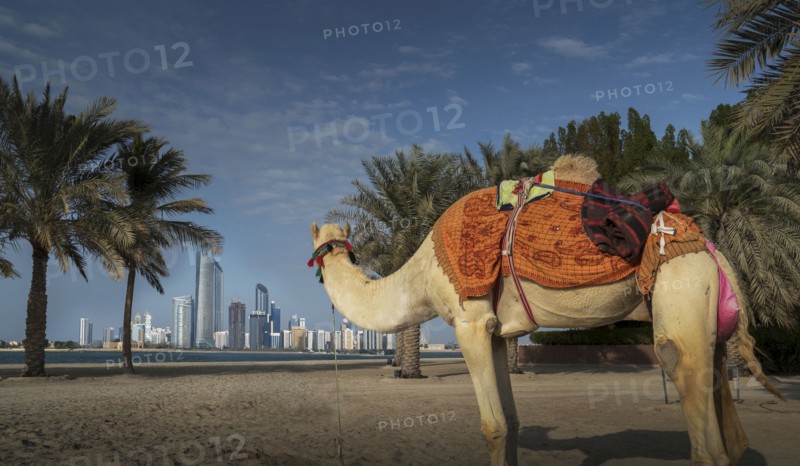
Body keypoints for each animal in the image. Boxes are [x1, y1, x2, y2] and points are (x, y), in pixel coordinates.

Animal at [310, 155, 783, 466]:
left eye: (329, 245)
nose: (324, 253)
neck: (423, 273)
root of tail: (710, 248)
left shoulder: (469, 322)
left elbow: (493, 426)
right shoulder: (495, 331)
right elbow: (513, 422)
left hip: (679, 286)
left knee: (692, 404)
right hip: (708, 317)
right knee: (727, 428)